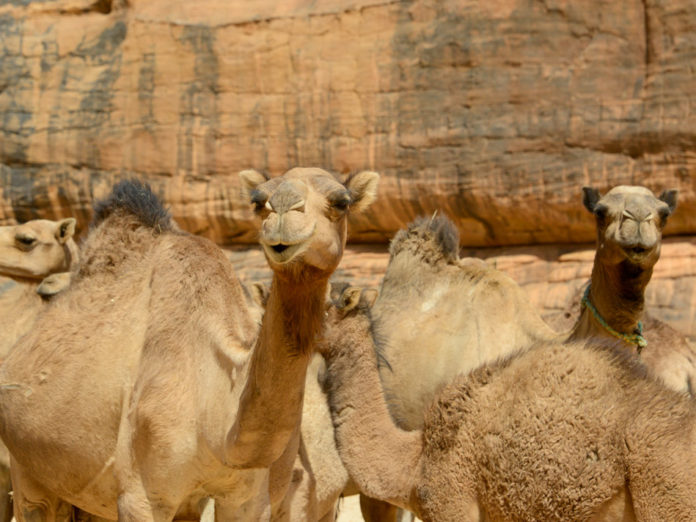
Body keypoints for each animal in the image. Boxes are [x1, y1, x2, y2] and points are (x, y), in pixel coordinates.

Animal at [0, 169, 380, 516]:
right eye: (258, 202)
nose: (284, 209)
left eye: (341, 202)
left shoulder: (248, 498)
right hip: (27, 469)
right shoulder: (143, 496)